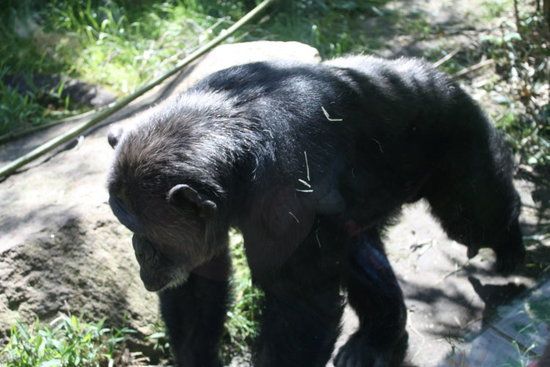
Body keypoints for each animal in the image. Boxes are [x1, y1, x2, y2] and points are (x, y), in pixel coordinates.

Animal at [108, 55, 528, 367]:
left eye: (143, 229)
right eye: (126, 225)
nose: (138, 249)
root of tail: (438, 75)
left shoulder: (287, 196)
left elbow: (300, 305)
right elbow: (198, 282)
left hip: (457, 137)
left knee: (475, 216)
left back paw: (511, 248)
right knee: (361, 256)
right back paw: (377, 338)